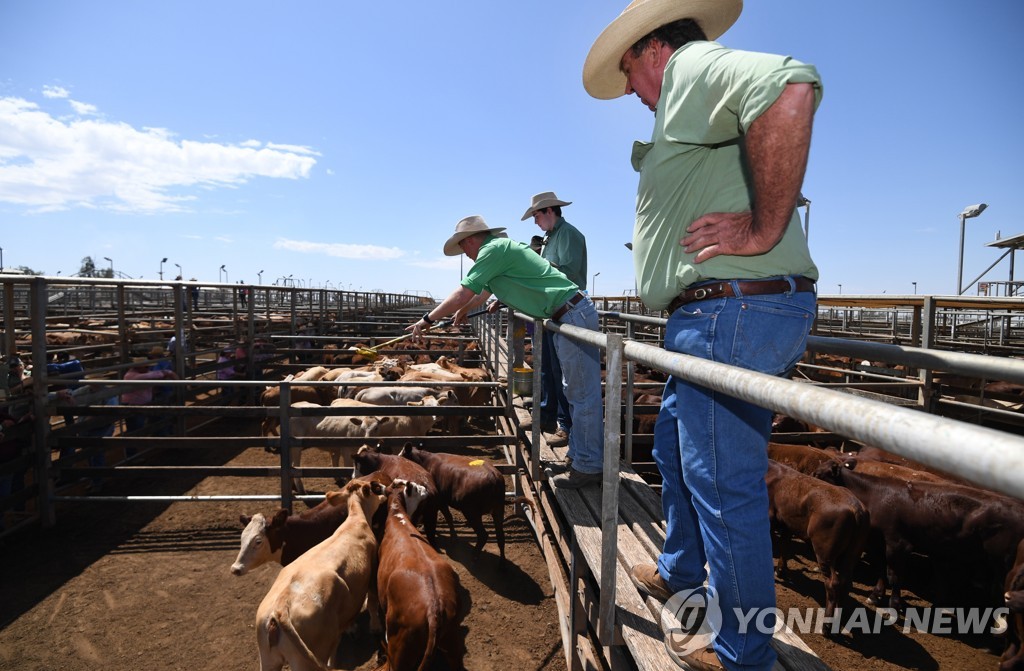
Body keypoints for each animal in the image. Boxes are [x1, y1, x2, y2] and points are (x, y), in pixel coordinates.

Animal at [765, 458, 868, 618]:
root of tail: (855, 507)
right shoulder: (787, 524)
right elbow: (784, 547)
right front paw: (781, 571)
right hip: (851, 554)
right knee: (846, 583)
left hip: (824, 552)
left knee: (832, 583)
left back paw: (828, 620)